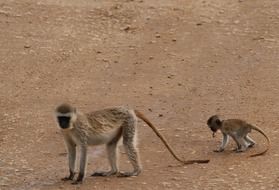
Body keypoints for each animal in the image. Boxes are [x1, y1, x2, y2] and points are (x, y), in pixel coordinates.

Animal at [55, 104, 210, 184]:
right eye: (60, 118)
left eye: (66, 118)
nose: (62, 124)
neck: (72, 125)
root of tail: (128, 109)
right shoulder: (65, 133)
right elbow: (71, 150)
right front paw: (70, 175)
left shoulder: (80, 131)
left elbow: (83, 150)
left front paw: (79, 178)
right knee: (111, 145)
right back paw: (112, 171)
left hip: (129, 121)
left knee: (128, 143)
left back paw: (136, 171)